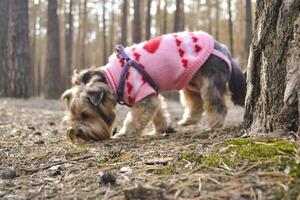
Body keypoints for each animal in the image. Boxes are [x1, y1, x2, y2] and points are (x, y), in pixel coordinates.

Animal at [61, 31, 246, 142]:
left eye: (85, 115)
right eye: (73, 116)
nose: (76, 132)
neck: (112, 79)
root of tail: (224, 50)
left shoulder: (144, 95)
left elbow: (134, 119)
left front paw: (124, 133)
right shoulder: (153, 96)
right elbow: (159, 113)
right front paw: (161, 129)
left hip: (209, 81)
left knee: (216, 104)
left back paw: (213, 125)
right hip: (191, 83)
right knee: (195, 102)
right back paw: (187, 120)